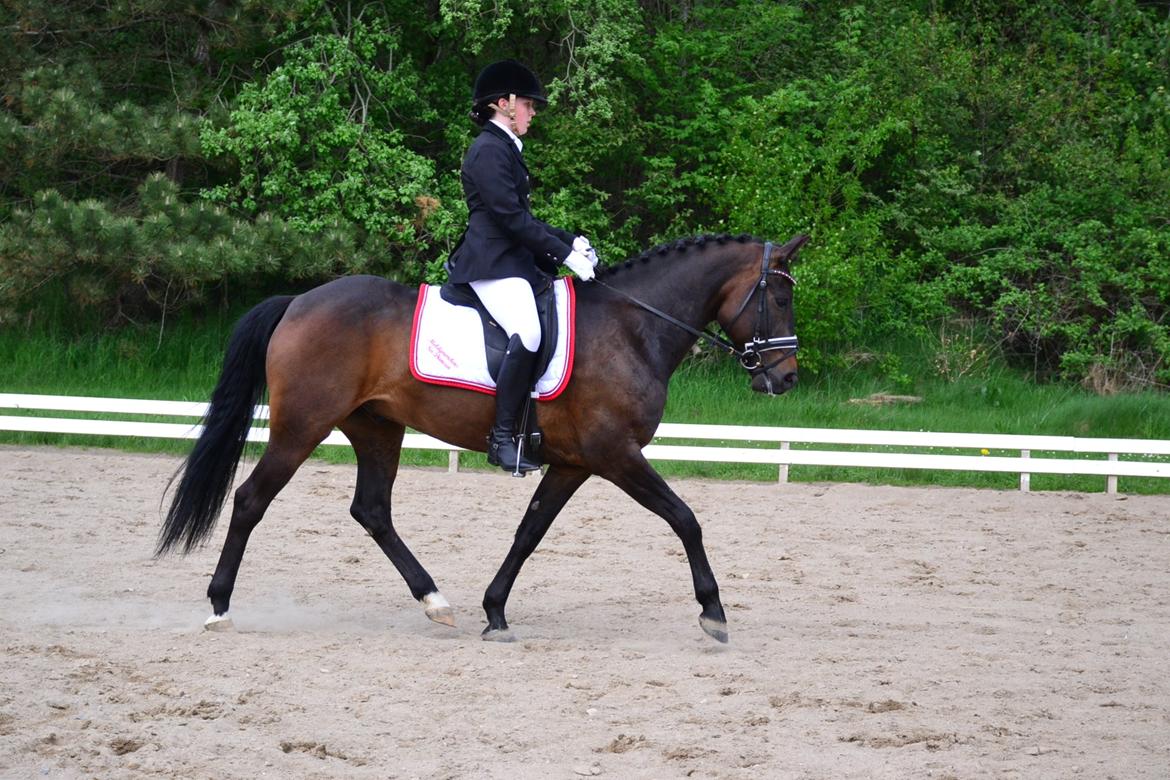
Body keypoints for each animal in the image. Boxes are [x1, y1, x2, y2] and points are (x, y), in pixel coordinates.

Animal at [157, 232, 807, 643]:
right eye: (779, 297)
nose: (786, 379)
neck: (632, 327)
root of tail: (298, 302)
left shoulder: (574, 462)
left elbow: (529, 532)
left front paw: (495, 612)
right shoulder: (616, 455)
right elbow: (685, 518)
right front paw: (714, 613)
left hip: (376, 427)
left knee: (372, 510)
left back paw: (436, 603)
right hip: (301, 427)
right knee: (251, 500)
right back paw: (219, 609)